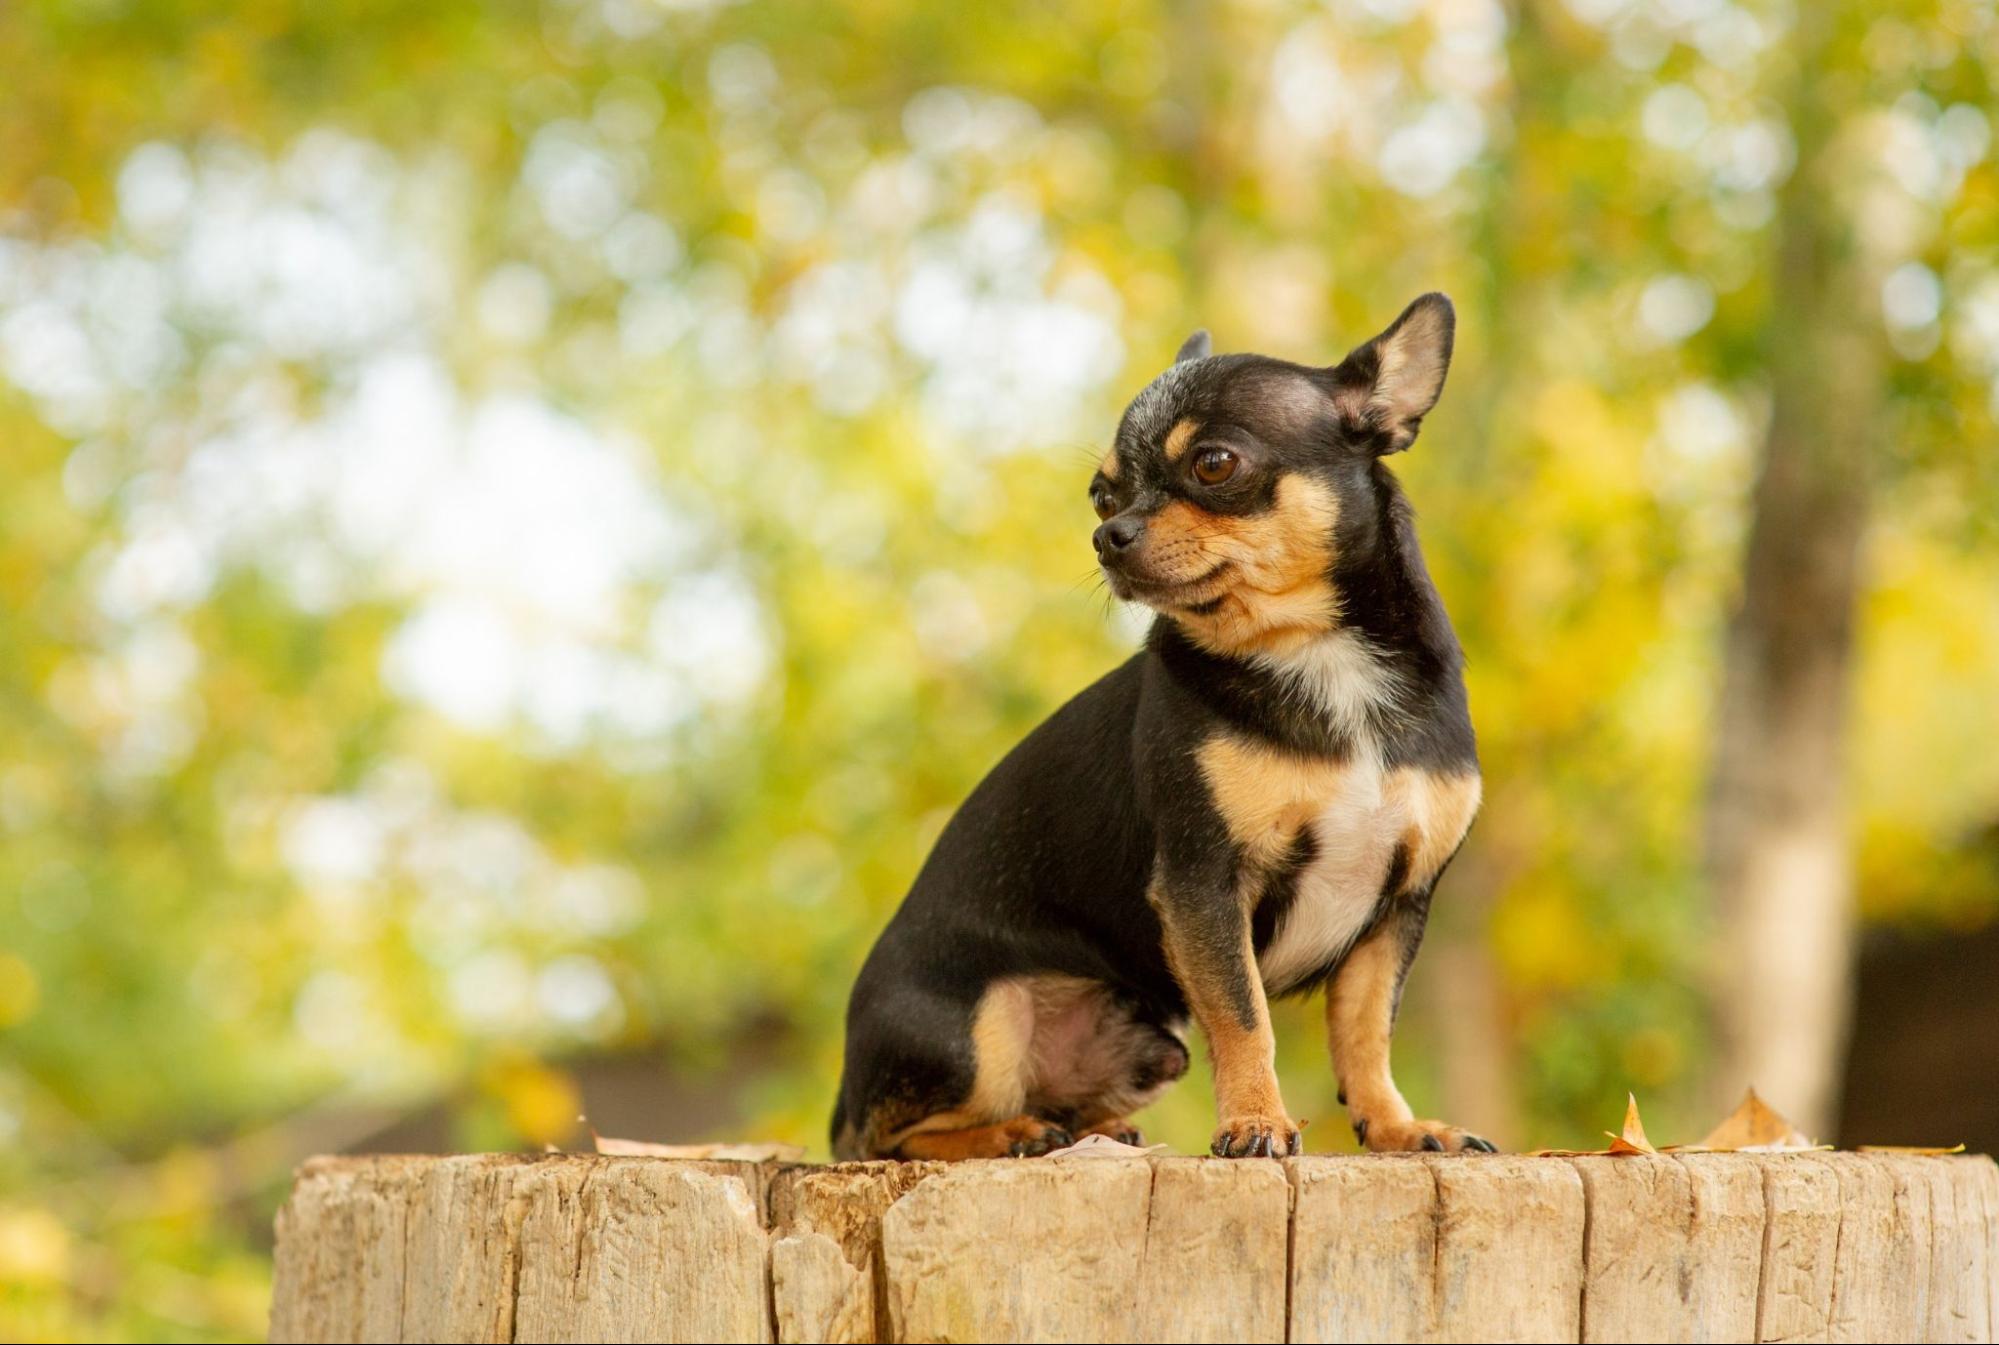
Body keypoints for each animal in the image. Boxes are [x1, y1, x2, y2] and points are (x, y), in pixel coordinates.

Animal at [819, 293, 1495, 1151]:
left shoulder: (1396, 907)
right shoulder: (1204, 884)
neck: (1315, 653)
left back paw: (1096, 1127)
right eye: (1100, 495)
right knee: (891, 1136)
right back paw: (1012, 1134)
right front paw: (1255, 1121)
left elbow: (1365, 1032)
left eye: (1214, 464)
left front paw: (1396, 1127)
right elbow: (1242, 1016)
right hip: (980, 1025)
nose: (1108, 534)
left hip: (1150, 1045)